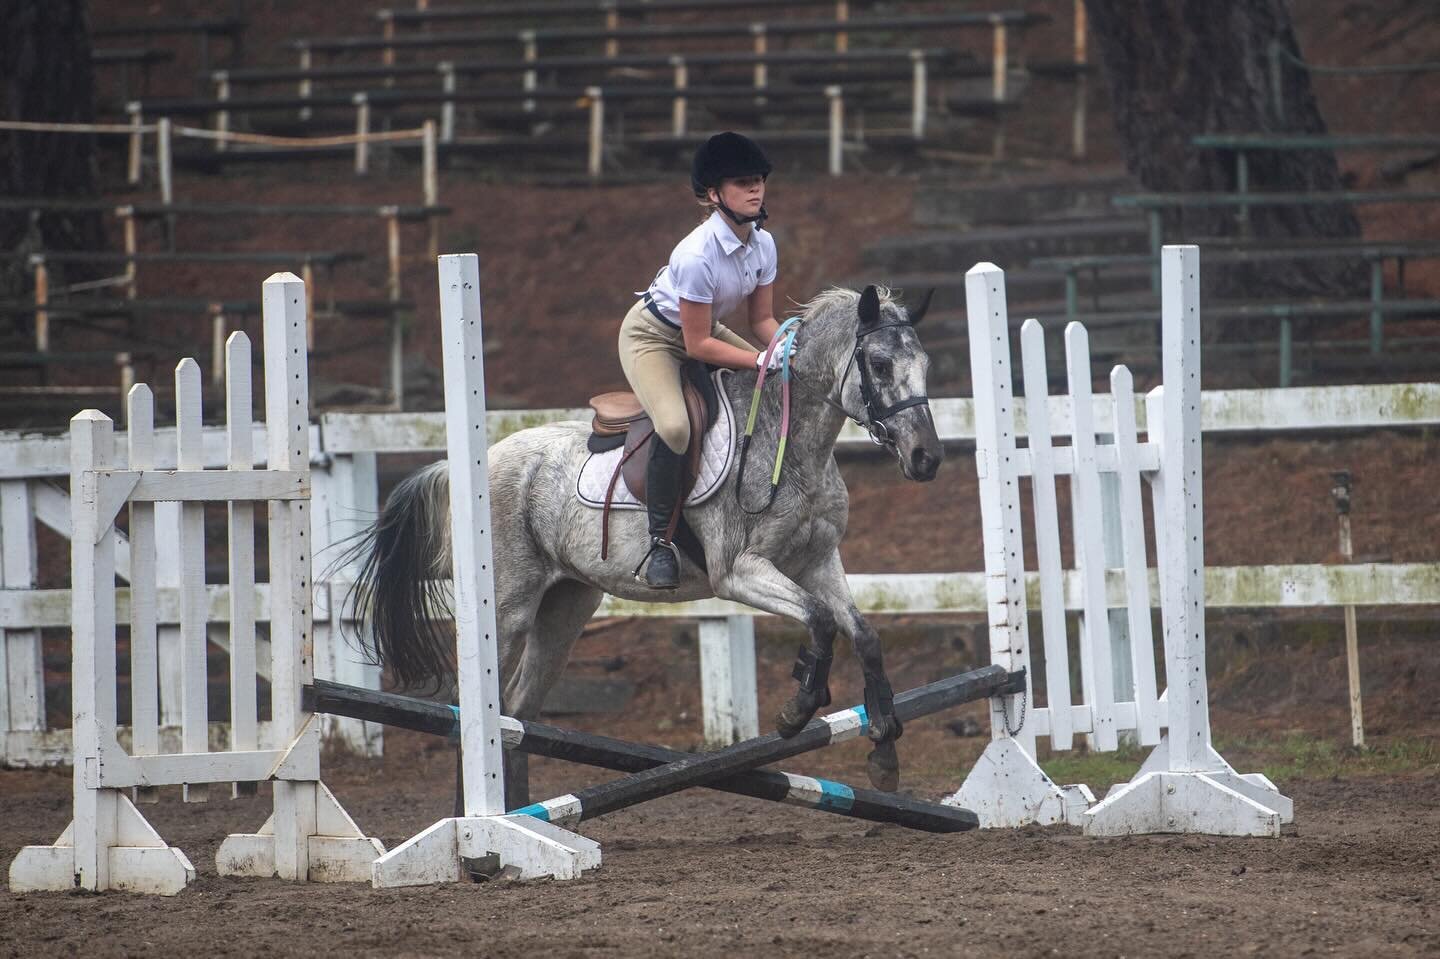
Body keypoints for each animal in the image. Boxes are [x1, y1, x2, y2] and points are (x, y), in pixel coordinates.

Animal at [341, 285, 938, 806]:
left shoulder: (817, 560)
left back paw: (524, 815)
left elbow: (862, 633)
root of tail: (474, 462)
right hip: (507, 611)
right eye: (879, 365)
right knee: (479, 712)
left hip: (565, 610)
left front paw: (884, 750)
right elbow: (820, 619)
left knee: (518, 711)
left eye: (925, 367)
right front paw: (796, 712)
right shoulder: (739, 571)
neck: (788, 441)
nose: (927, 458)